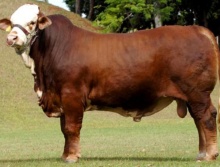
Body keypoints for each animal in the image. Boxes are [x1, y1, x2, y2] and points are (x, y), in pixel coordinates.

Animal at [0, 3, 220, 163]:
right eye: (12, 22)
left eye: (31, 22)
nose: (12, 37)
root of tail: (197, 29)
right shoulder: (61, 97)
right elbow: (64, 129)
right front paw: (65, 155)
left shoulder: (71, 95)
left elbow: (71, 127)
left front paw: (71, 157)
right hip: (192, 95)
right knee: (198, 119)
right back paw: (201, 153)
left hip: (198, 93)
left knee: (206, 117)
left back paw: (209, 155)